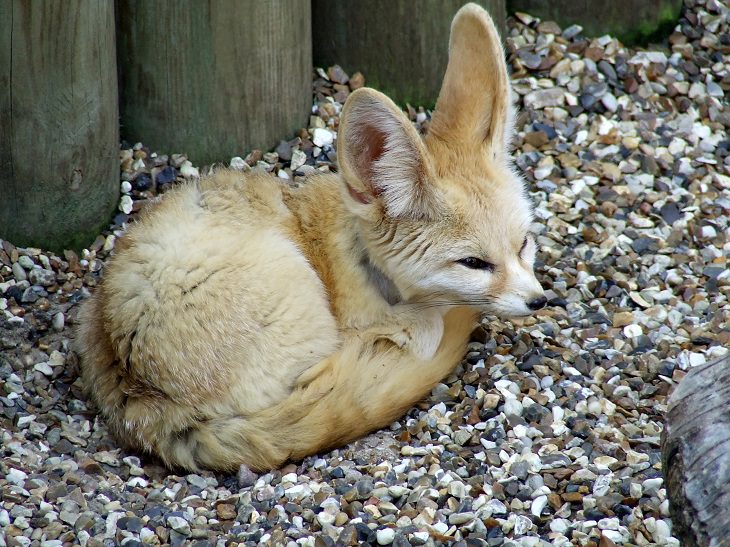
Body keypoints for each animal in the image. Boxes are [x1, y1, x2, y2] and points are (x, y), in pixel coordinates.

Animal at [77, 4, 544, 474]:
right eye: (473, 263)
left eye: (524, 244)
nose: (540, 301)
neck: (361, 262)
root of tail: (142, 399)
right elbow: (422, 329)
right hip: (292, 287)